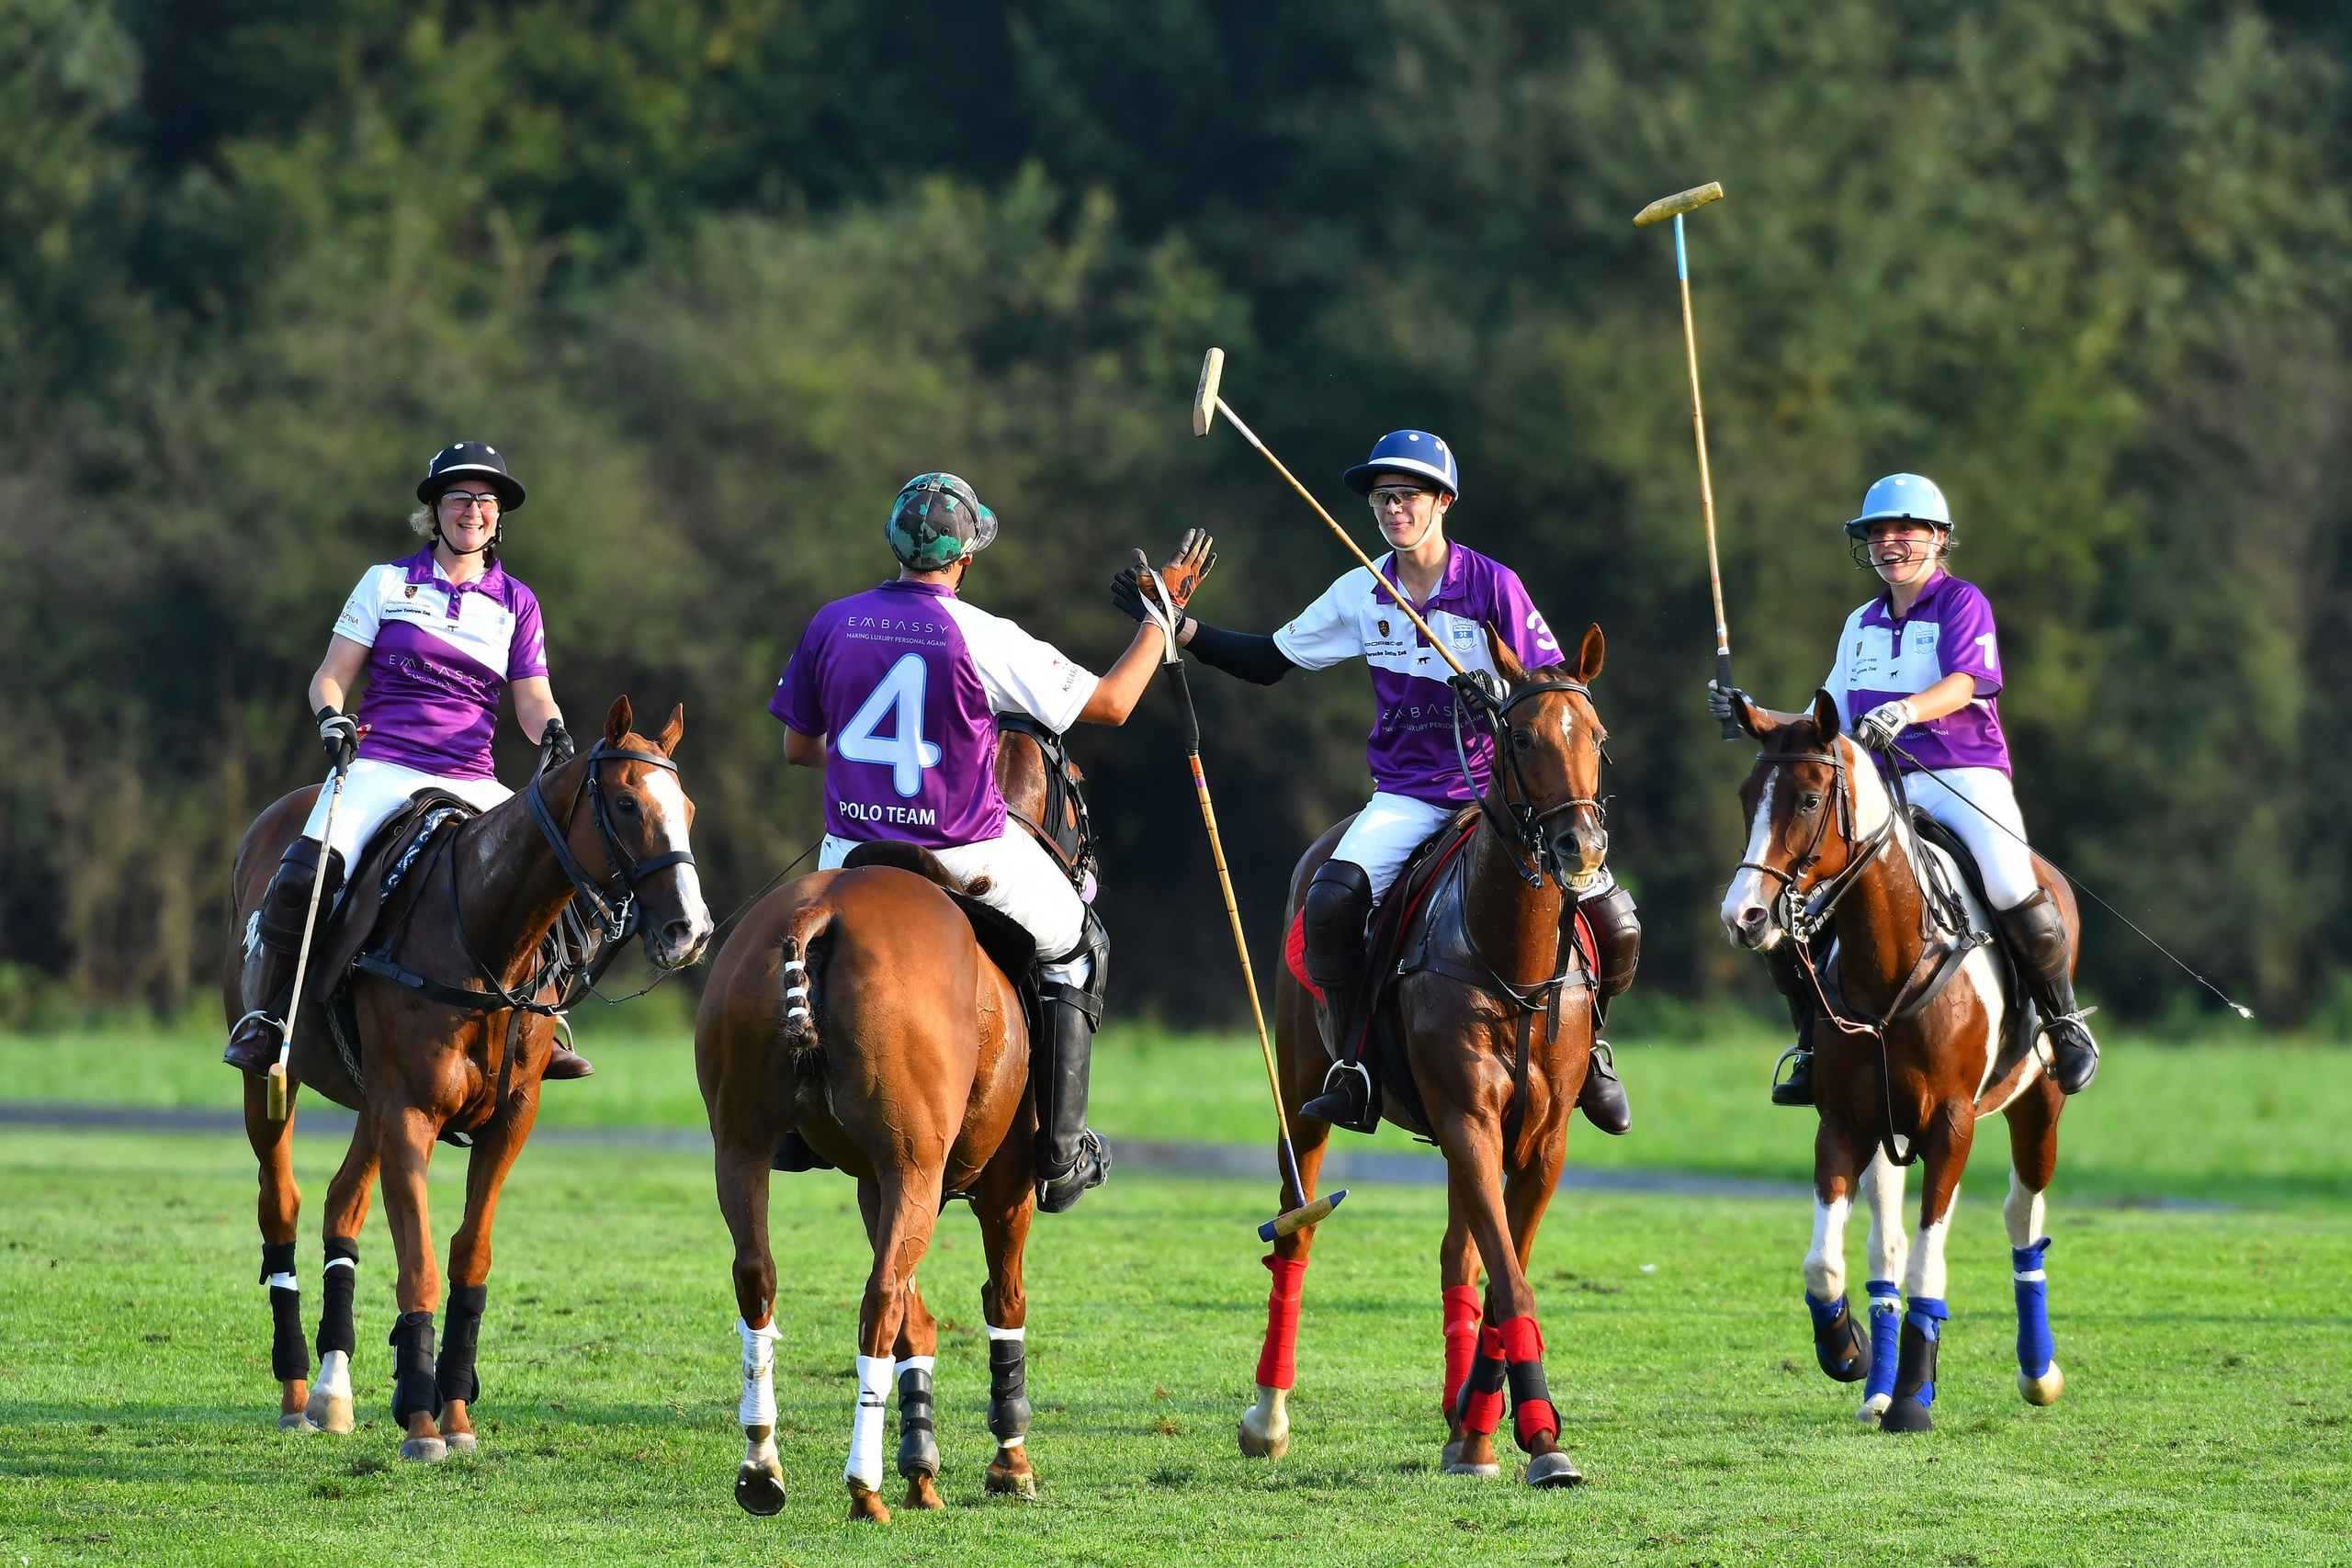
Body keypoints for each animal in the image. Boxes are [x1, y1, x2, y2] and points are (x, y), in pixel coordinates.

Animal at [225, 698, 711, 1459]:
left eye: (686, 806)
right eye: (628, 803)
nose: (690, 930)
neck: (491, 938)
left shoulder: (511, 1116)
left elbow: (469, 1255)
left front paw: (452, 1409)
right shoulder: (410, 1113)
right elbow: (421, 1261)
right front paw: (422, 1421)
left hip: (370, 1101)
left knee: (341, 1204)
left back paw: (335, 1389)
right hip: (276, 1082)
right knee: (283, 1204)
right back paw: (298, 1391)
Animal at [696, 720, 1089, 1522]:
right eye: (1082, 787)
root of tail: (821, 912)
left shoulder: (874, 1178)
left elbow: (921, 1316)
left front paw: (922, 1463)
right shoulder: (996, 1182)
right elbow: (1000, 1298)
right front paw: (1008, 1461)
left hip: (743, 1145)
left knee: (758, 1275)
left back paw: (762, 1465)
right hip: (918, 1163)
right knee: (877, 1297)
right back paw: (863, 1485)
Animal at [1240, 624, 1612, 1488]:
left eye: (1597, 738)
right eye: (1522, 738)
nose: (1581, 846)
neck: (1515, 965)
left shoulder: (1542, 1140)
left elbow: (1503, 1270)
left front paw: (1488, 1429)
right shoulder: (1469, 1116)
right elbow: (1512, 1279)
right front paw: (1529, 1435)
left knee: (1456, 1256)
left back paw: (1457, 1407)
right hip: (1306, 1087)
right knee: (1296, 1233)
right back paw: (1268, 1417)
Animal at [1718, 690, 2073, 1432]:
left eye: (1808, 797)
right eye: (1744, 795)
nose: (1745, 917)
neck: (1888, 957)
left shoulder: (1950, 1127)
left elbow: (1929, 1265)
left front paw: (1914, 1395)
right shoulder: (1844, 1125)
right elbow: (1825, 1261)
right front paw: (1846, 1351)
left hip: (2039, 1103)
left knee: (2022, 1215)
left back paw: (2037, 1373)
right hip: (1889, 1131)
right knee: (1886, 1245)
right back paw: (1877, 1385)